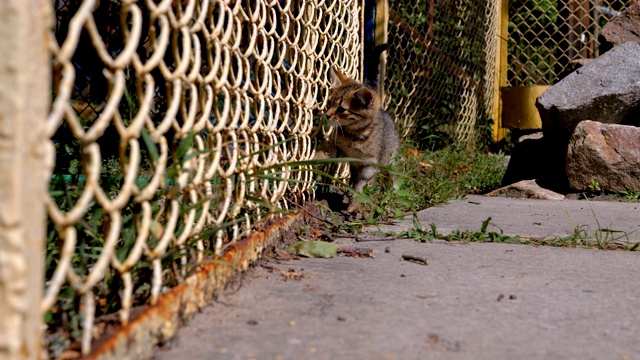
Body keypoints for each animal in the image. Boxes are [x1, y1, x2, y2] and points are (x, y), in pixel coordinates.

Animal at [316, 67, 400, 212]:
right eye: (330, 103)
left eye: (341, 109)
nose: (327, 115)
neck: (352, 135)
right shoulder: (339, 148)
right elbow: (328, 147)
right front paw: (318, 156)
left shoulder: (370, 164)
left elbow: (362, 185)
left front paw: (355, 203)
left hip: (389, 163)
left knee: (389, 181)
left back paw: (386, 201)